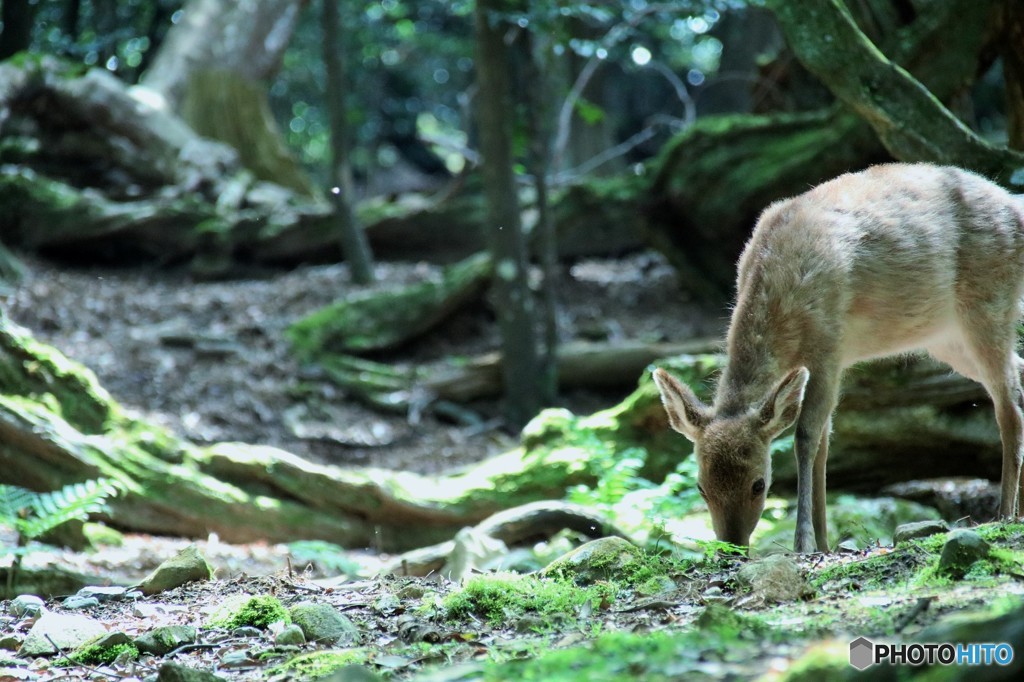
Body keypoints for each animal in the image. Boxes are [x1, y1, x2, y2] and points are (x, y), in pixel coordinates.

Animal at [651, 163, 1024, 552]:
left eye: (759, 484)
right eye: (701, 486)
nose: (732, 548)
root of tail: (1015, 206)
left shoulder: (828, 349)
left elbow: (805, 438)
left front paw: (803, 542)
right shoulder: (833, 361)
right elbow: (824, 445)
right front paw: (824, 543)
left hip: (988, 304)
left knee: (1008, 405)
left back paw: (1004, 514)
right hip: (946, 337)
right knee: (1018, 373)